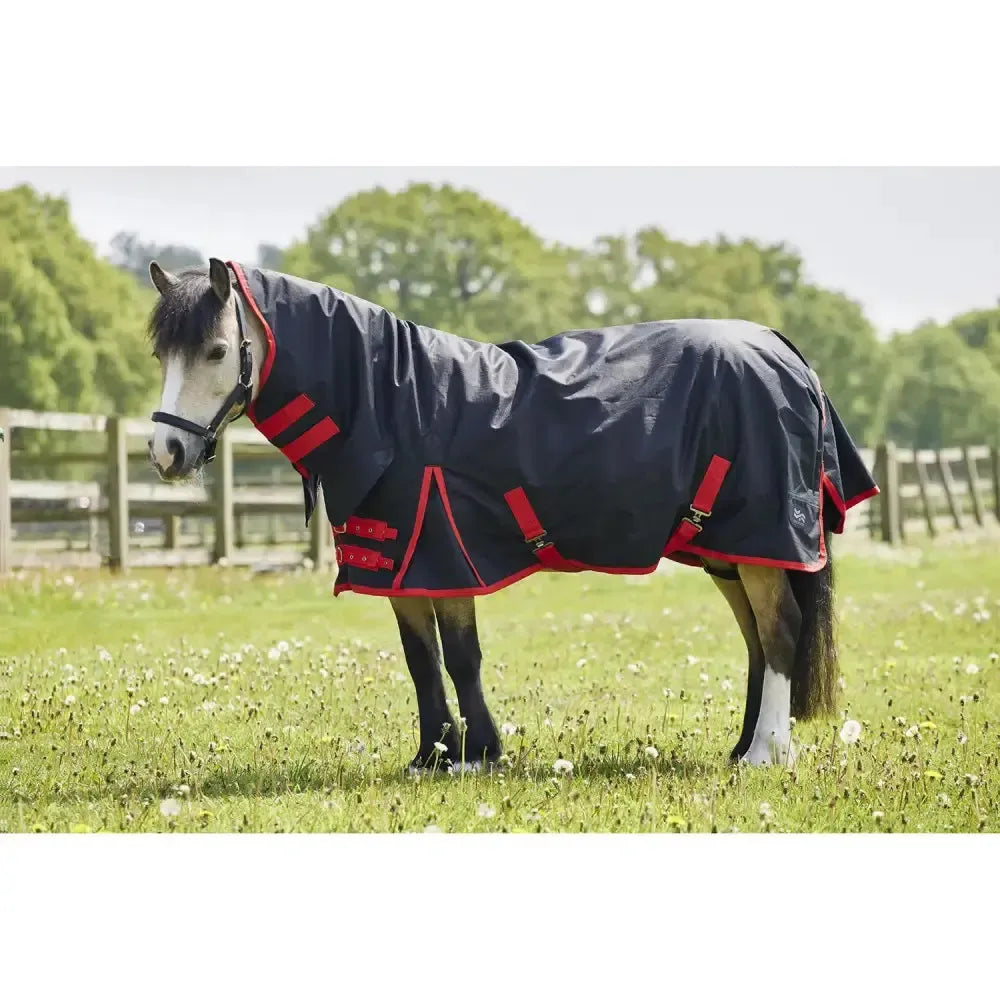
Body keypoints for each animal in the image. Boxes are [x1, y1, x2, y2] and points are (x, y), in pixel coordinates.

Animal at [146, 257, 879, 772]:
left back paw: (767, 753)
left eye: (216, 351)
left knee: (780, 631)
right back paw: (743, 745)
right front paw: (431, 756)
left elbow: (461, 656)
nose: (164, 451)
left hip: (762, 540)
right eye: (161, 354)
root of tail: (782, 351)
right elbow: (422, 660)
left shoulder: (444, 553)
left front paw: (478, 755)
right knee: (757, 639)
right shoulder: (400, 566)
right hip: (730, 549)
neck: (392, 403)